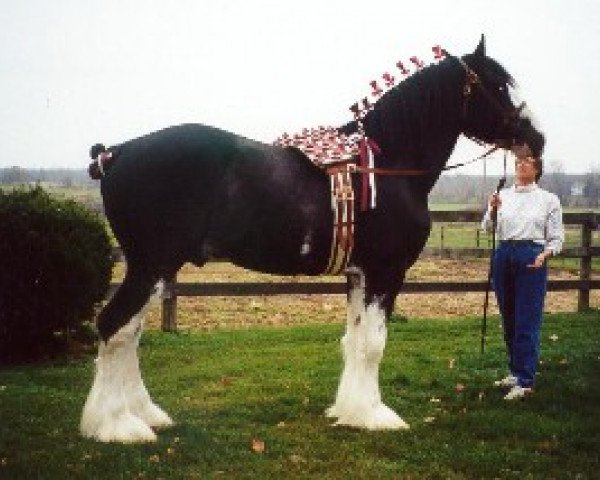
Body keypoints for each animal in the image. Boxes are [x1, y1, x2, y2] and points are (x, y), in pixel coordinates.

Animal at [79, 37, 544, 442]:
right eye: (498, 85)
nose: (536, 140)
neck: (386, 167)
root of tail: (117, 152)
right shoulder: (386, 273)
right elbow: (373, 345)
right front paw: (377, 416)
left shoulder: (358, 275)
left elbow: (353, 340)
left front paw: (350, 411)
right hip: (150, 264)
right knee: (115, 328)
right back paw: (117, 426)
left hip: (155, 268)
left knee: (130, 333)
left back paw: (143, 414)